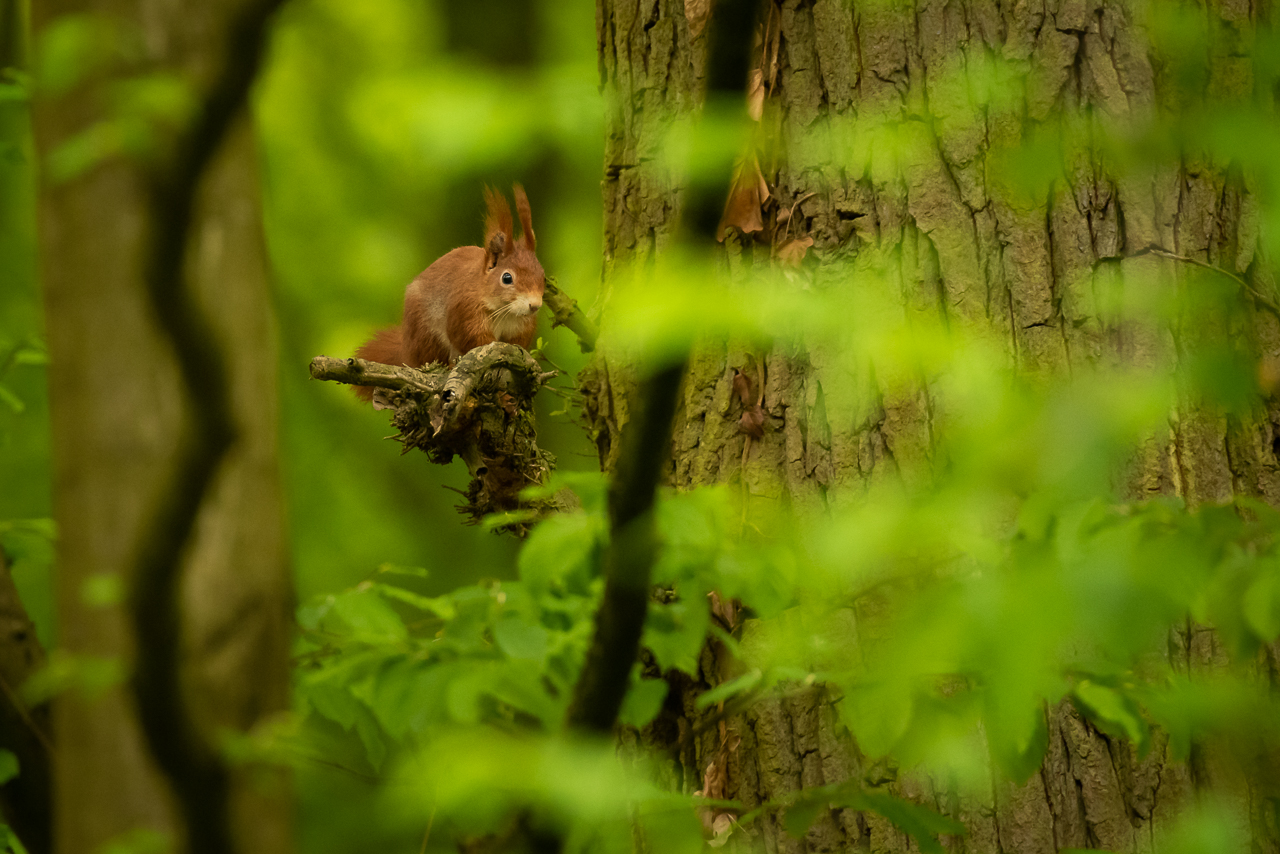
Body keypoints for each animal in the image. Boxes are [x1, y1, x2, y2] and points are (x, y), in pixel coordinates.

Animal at [355, 185, 545, 399]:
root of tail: (406, 351)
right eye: (506, 278)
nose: (534, 305)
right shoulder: (466, 310)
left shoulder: (521, 327)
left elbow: (517, 345)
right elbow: (473, 340)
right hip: (427, 337)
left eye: (543, 275)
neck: (505, 311)